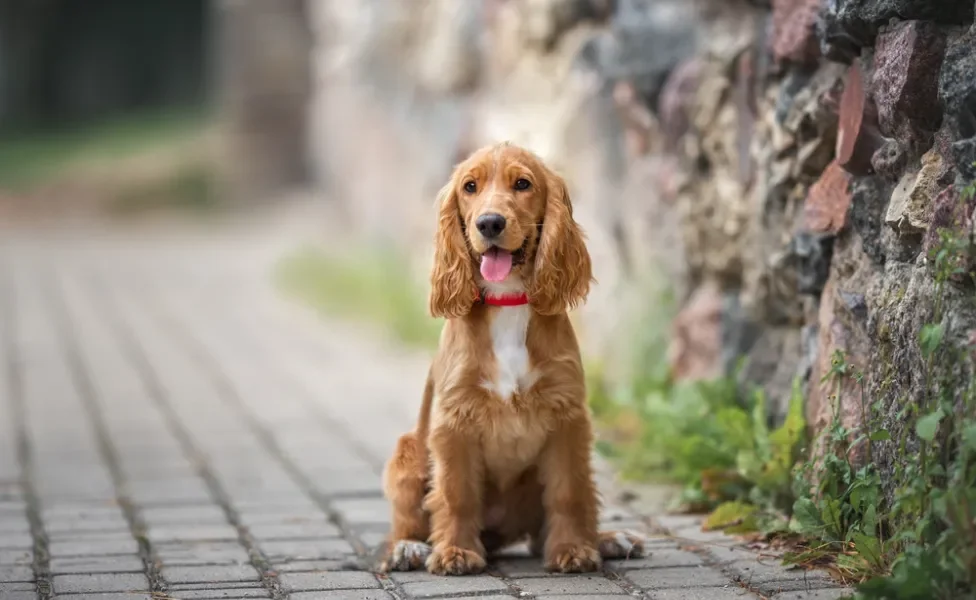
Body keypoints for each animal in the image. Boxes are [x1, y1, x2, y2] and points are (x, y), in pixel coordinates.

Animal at [378, 142, 644, 576]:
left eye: (522, 184)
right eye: (470, 187)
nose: (489, 223)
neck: (508, 301)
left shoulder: (567, 416)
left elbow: (570, 492)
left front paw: (573, 549)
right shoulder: (454, 421)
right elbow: (456, 493)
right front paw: (454, 552)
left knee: (550, 525)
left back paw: (607, 539)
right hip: (407, 451)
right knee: (405, 523)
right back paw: (408, 548)